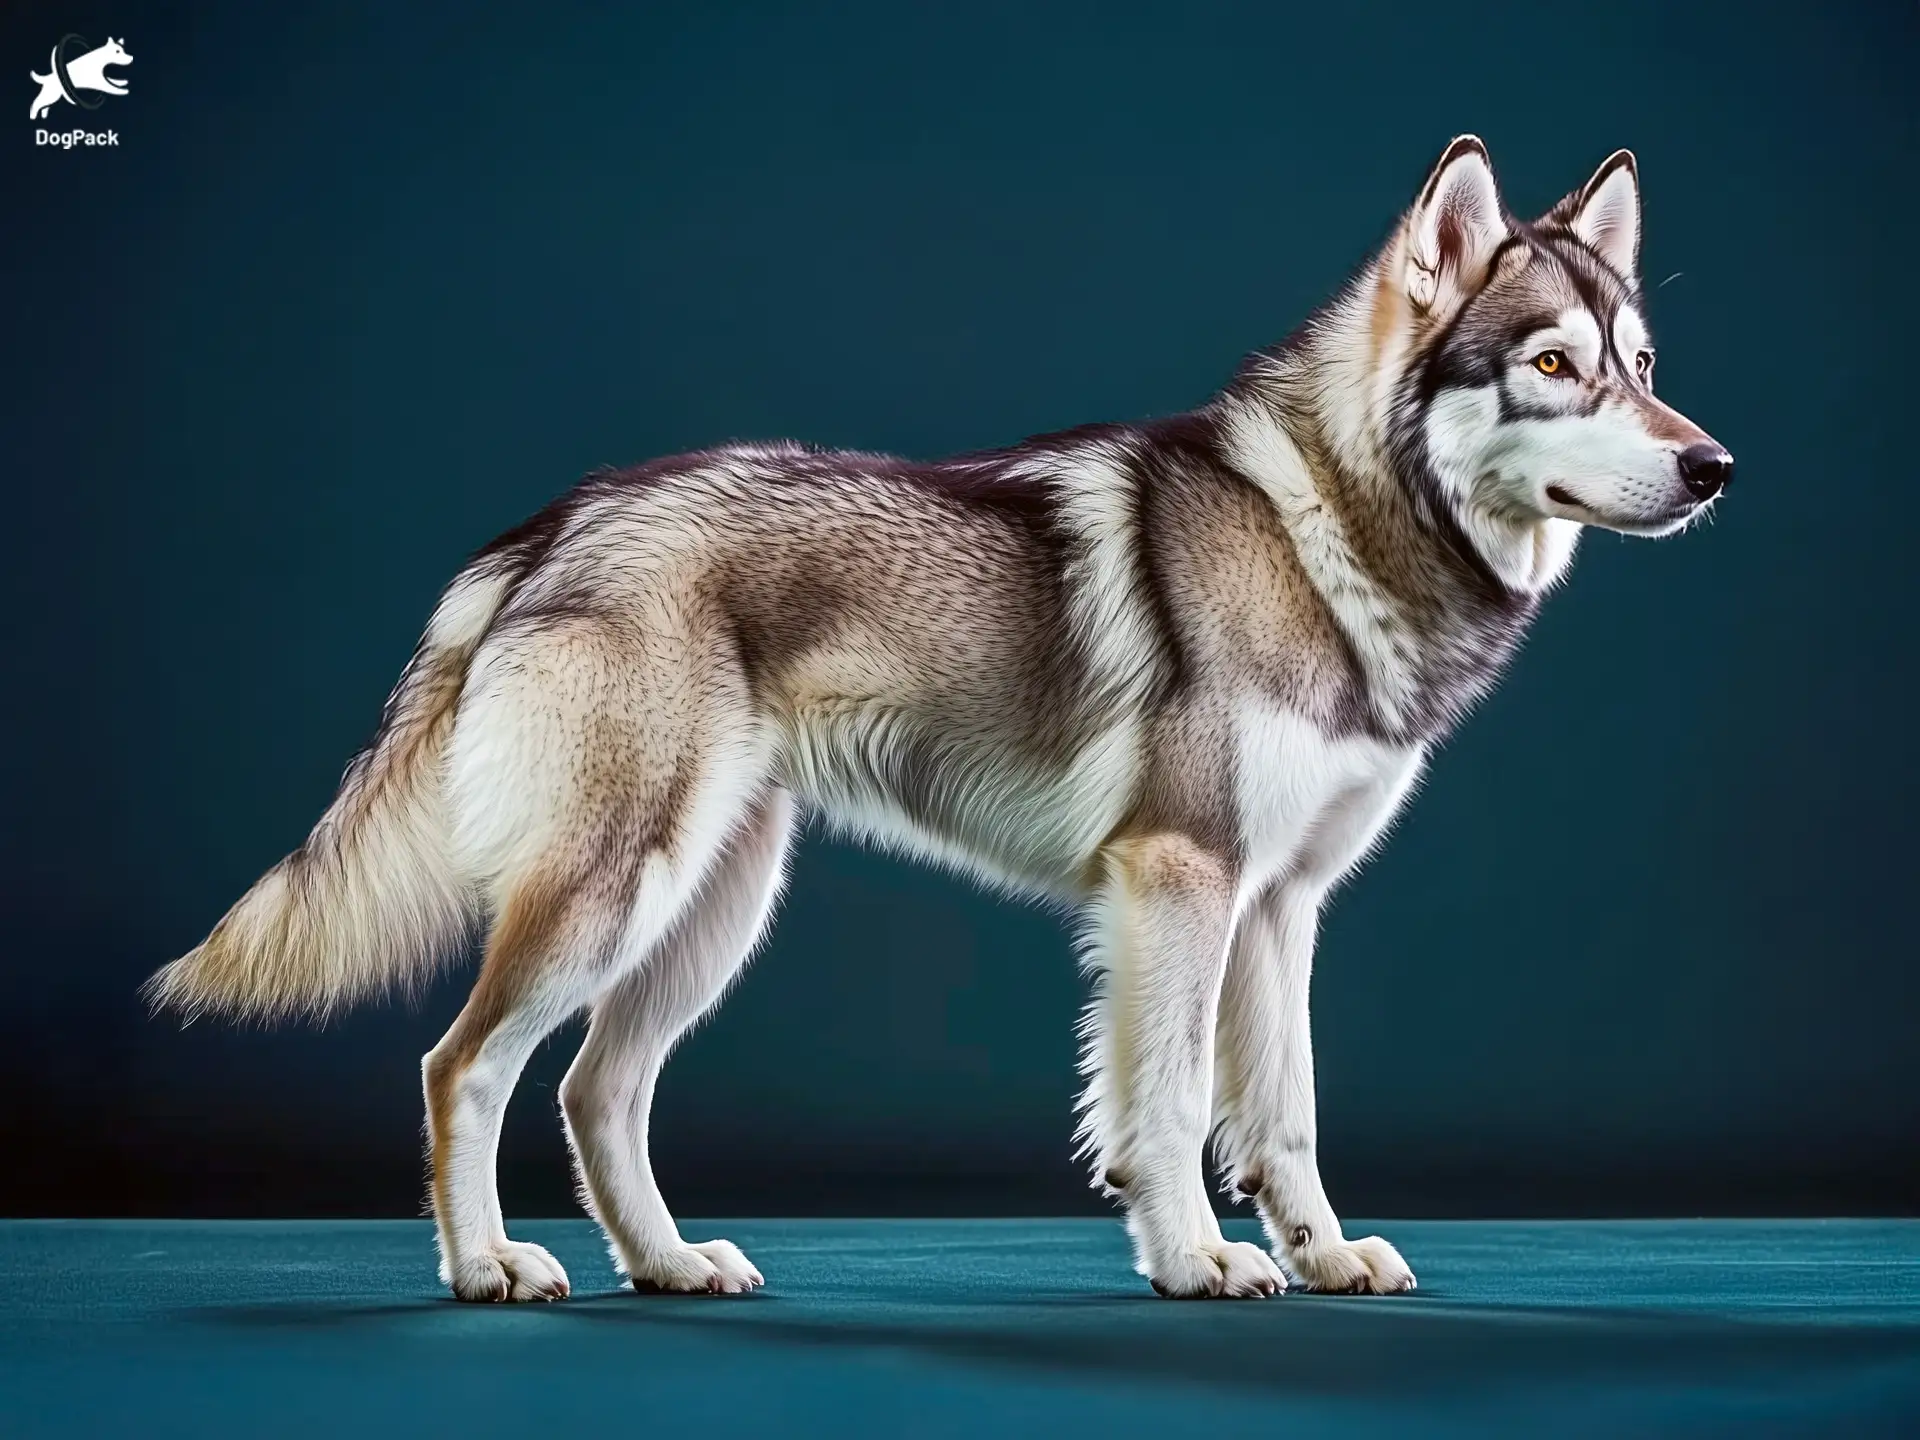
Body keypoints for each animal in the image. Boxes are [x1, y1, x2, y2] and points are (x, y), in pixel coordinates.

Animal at [149, 138, 1735, 1305]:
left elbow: (1283, 1115)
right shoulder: (1180, 883)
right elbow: (1169, 1105)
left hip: (715, 910)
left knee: (598, 1090)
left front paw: (1325, 1253)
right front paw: (1197, 1262)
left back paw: (669, 1266)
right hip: (613, 893)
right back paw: (487, 1267)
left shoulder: (1280, 908)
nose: (1714, 466)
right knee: (462, 1067)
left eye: (1646, 365)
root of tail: (556, 525)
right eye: (1552, 365)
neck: (1331, 530)